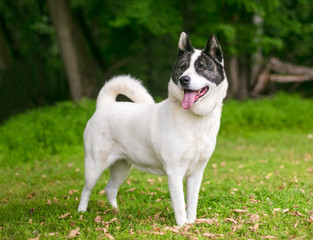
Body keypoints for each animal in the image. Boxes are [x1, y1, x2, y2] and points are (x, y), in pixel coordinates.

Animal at [77, 31, 227, 225]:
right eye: (183, 67)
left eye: (201, 67)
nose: (183, 79)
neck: (194, 120)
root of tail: (104, 105)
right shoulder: (174, 172)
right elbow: (180, 204)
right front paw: (182, 226)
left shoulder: (197, 173)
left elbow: (192, 203)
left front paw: (192, 223)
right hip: (95, 165)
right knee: (86, 189)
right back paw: (81, 212)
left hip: (122, 167)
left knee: (110, 188)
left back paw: (115, 212)